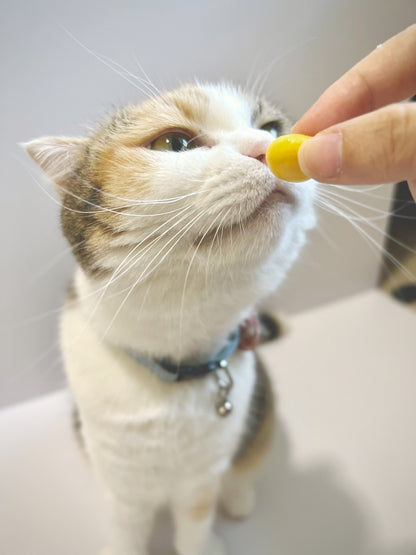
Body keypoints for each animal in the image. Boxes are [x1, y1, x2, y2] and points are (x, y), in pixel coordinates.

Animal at [25, 82, 316, 555]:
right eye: (173, 144)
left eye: (273, 128)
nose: (266, 147)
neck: (179, 356)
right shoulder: (121, 485)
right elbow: (127, 532)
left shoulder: (202, 478)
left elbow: (195, 524)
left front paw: (205, 541)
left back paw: (239, 497)